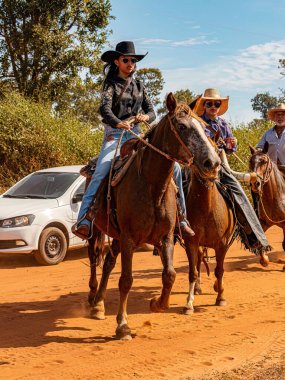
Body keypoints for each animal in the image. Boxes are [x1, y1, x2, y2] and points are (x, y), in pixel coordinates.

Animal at [85, 93, 219, 340]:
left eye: (203, 127)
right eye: (181, 126)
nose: (212, 162)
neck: (151, 186)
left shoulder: (165, 237)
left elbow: (170, 274)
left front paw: (158, 303)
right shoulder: (129, 239)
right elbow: (126, 280)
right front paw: (123, 325)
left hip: (116, 236)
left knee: (107, 262)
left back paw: (99, 304)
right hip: (95, 231)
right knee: (94, 259)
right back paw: (93, 299)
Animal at [182, 160, 235, 314]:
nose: (210, 165)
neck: (207, 208)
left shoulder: (222, 243)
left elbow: (219, 270)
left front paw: (220, 297)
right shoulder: (191, 242)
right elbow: (192, 272)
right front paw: (189, 304)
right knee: (199, 259)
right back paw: (198, 288)